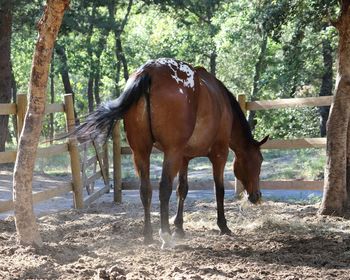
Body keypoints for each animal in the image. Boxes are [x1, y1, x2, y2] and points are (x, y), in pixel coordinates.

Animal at [76, 58, 268, 248]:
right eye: (258, 161)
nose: (257, 195)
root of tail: (149, 71)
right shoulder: (219, 154)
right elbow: (218, 190)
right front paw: (223, 225)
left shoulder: (184, 158)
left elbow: (182, 189)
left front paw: (179, 227)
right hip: (171, 153)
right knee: (163, 188)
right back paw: (165, 235)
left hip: (141, 152)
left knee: (146, 189)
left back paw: (148, 235)